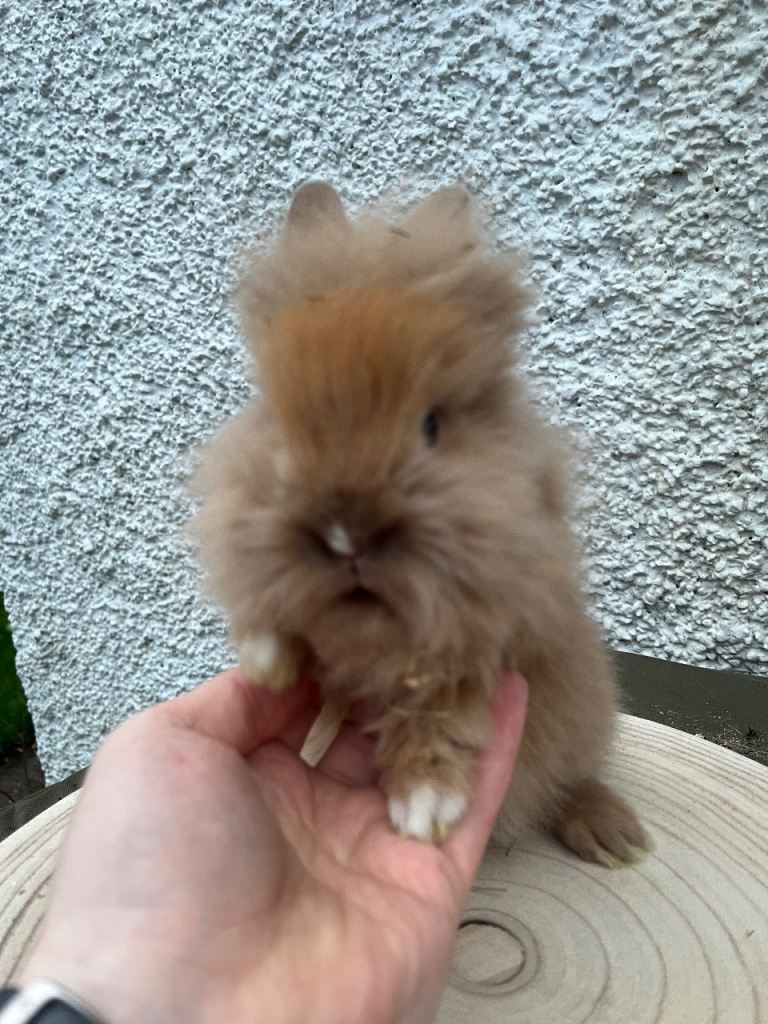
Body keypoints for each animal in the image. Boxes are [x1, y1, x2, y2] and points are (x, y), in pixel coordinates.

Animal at [189, 181, 648, 864]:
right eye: (282, 418)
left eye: (432, 425)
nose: (346, 535)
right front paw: (267, 659)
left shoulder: (489, 637)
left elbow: (442, 711)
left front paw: (424, 802)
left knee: (569, 776)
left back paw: (612, 836)